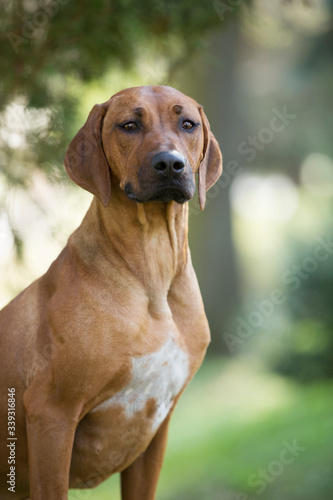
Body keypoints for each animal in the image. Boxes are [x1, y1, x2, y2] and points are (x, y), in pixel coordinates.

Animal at [0, 87, 223, 500]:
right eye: (129, 126)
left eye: (188, 124)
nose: (170, 164)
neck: (151, 269)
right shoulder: (52, 413)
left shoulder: (157, 432)